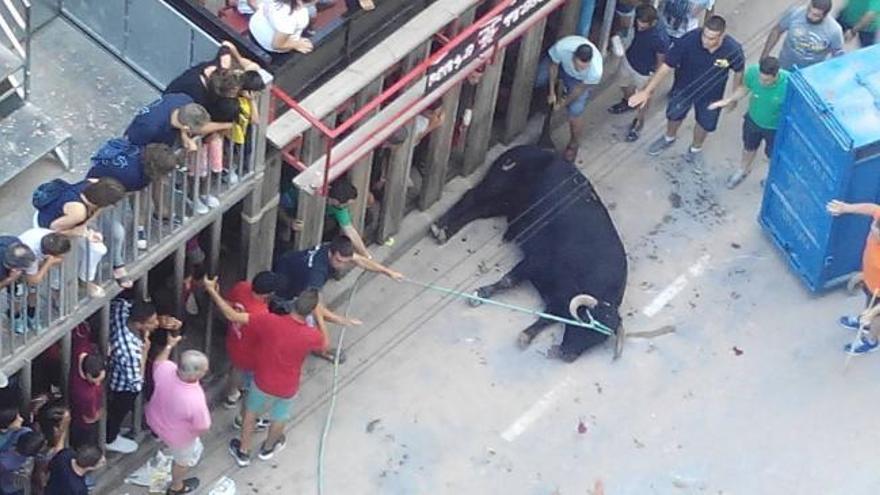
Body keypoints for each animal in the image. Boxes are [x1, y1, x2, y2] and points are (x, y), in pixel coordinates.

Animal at [432, 144, 624, 360]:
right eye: (584, 323)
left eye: (599, 339)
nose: (568, 355)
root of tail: (532, 148)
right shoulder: (536, 261)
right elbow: (508, 280)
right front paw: (480, 294)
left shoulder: (559, 300)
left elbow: (549, 316)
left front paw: (527, 335)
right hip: (496, 186)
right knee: (471, 196)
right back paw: (439, 227)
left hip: (504, 203)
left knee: (477, 210)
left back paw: (446, 231)